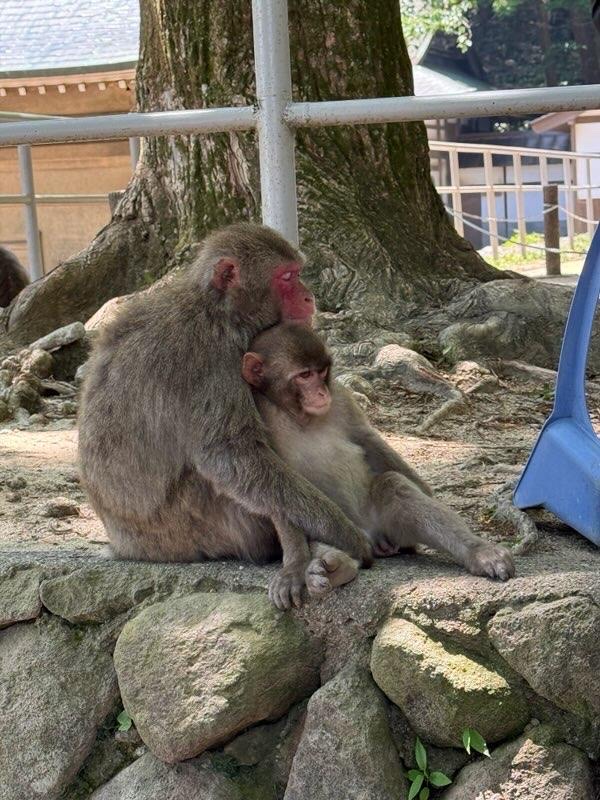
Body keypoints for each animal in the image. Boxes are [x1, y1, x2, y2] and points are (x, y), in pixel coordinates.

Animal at [78, 223, 373, 612]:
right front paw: (345, 532)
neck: (217, 309)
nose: (309, 298)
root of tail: (127, 546)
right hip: (199, 529)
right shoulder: (211, 357)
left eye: (297, 272)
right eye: (287, 277)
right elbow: (230, 454)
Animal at [242, 322, 516, 581]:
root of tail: (376, 538)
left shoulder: (341, 398)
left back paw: (478, 552)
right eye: (304, 375)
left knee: (393, 485)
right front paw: (295, 564)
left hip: (385, 524)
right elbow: (269, 481)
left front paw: (428, 493)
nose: (321, 392)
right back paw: (336, 567)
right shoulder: (261, 412)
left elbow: (367, 439)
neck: (300, 416)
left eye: (322, 372)